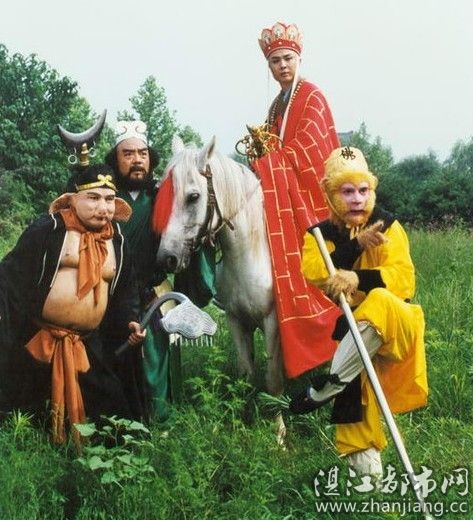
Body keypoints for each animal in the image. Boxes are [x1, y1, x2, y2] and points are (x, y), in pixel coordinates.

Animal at [155, 135, 286, 443]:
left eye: (193, 196)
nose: (166, 258)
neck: (251, 253)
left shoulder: (273, 322)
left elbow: (273, 379)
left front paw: (278, 434)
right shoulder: (236, 320)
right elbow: (246, 373)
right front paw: (244, 419)